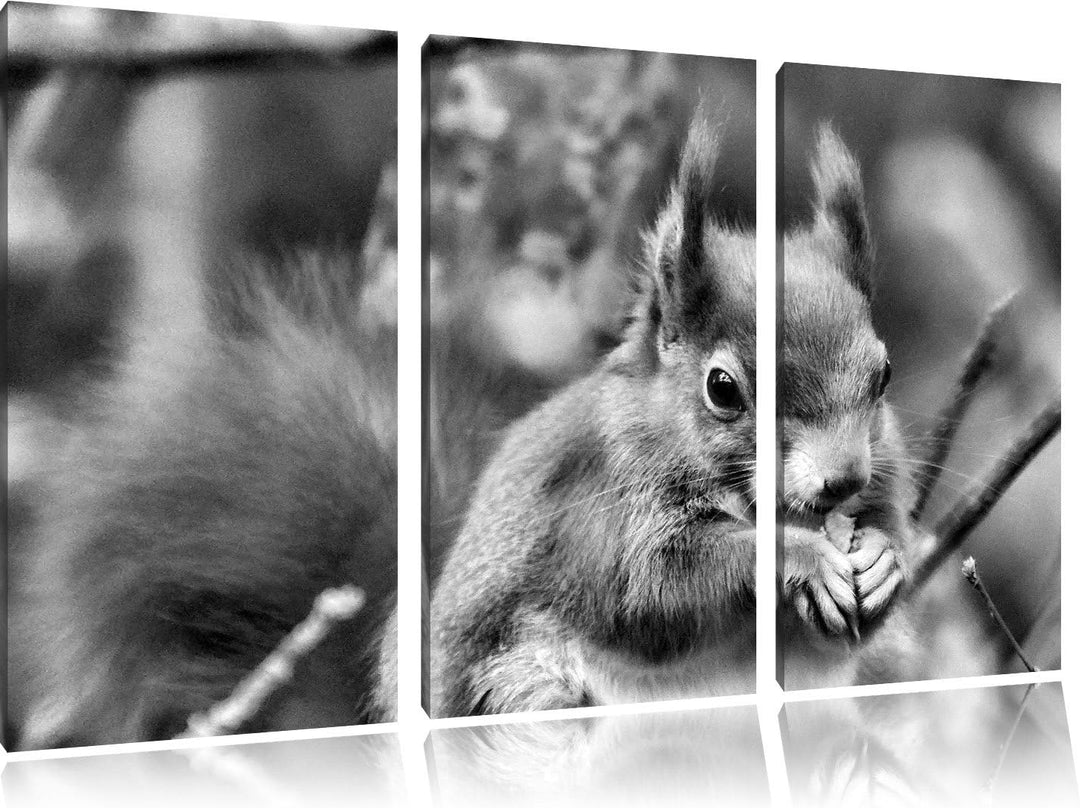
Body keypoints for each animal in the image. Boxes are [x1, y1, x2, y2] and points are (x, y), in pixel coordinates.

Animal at [425, 113, 914, 716]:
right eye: (722, 389)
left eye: (884, 374)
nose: (843, 479)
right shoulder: (605, 504)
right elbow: (652, 592)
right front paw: (804, 557)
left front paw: (883, 558)